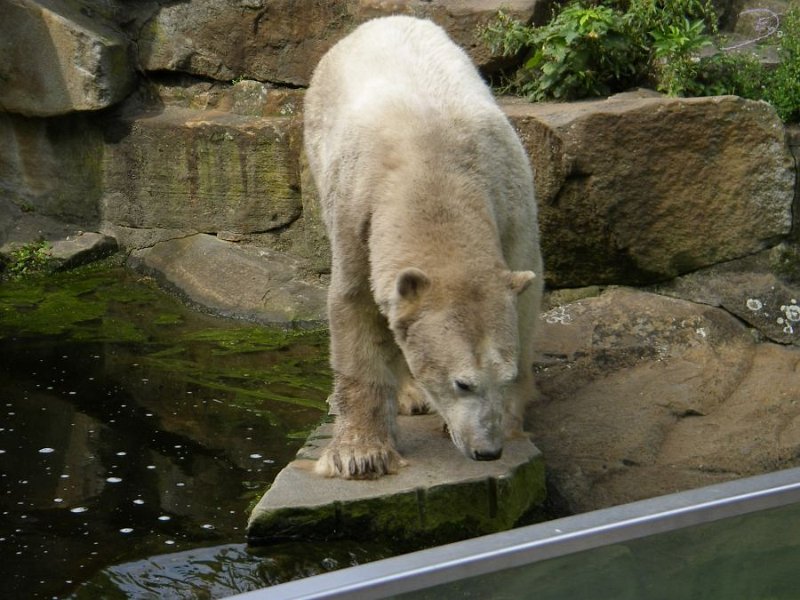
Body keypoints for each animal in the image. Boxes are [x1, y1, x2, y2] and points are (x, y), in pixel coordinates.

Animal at [304, 16, 540, 480]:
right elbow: (355, 306)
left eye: (504, 376)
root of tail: (379, 21)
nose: (488, 450)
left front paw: (514, 417)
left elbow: (524, 297)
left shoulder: (510, 204)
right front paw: (360, 453)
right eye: (462, 383)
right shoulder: (358, 212)